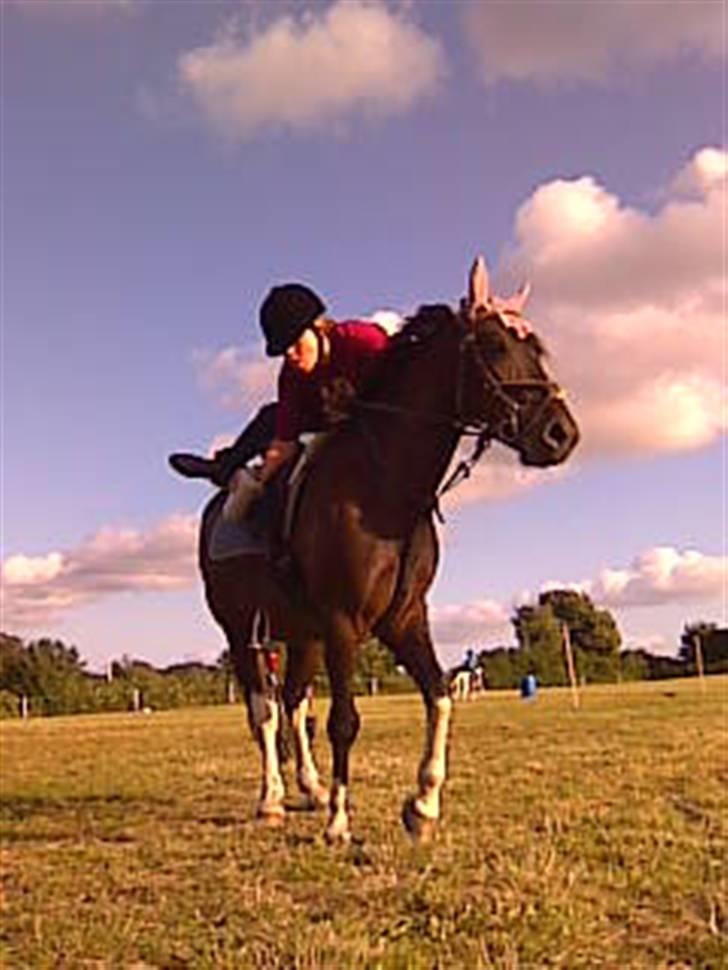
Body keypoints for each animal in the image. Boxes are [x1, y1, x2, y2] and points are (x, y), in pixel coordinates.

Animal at [198, 258, 580, 840]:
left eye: (535, 347)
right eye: (494, 346)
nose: (563, 435)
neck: (387, 490)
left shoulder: (404, 618)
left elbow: (440, 697)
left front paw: (422, 805)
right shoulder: (342, 622)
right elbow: (345, 721)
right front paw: (339, 822)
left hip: (303, 636)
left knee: (293, 703)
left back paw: (309, 787)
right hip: (243, 633)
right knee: (263, 712)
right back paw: (272, 798)